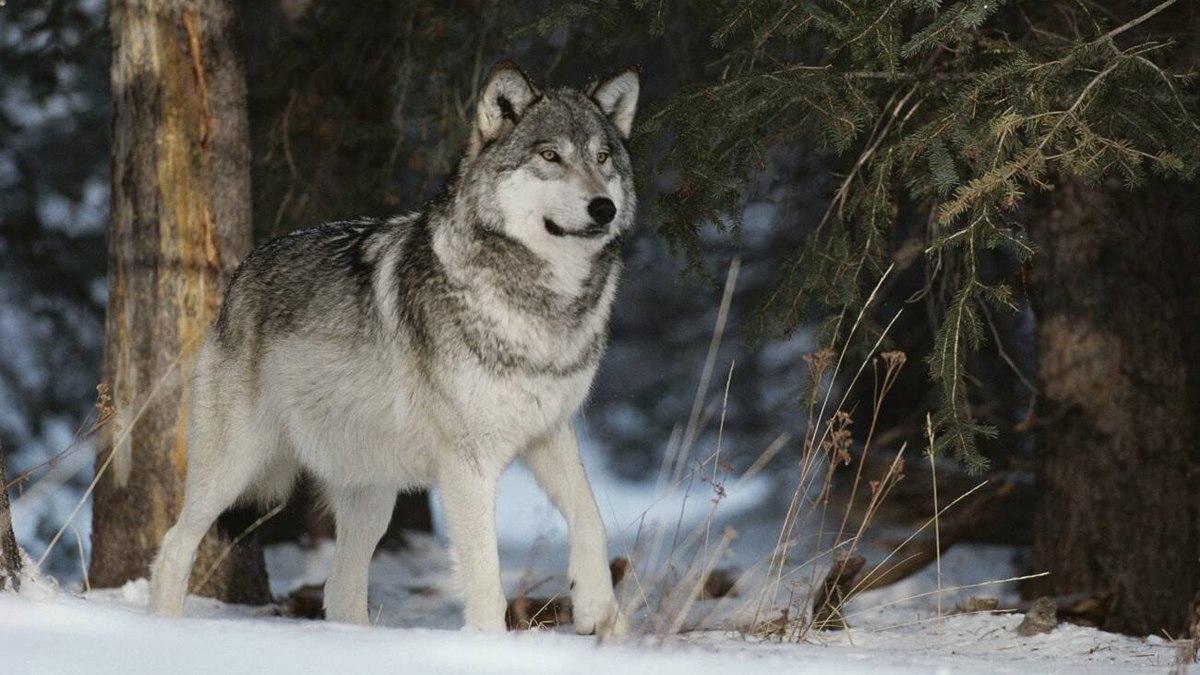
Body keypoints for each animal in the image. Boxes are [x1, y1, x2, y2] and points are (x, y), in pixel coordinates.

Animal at [150, 60, 643, 634]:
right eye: (550, 156)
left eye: (602, 158)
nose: (603, 208)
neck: (543, 306)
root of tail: (242, 272)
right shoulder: (469, 464)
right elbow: (485, 576)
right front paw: (491, 640)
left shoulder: (549, 432)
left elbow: (590, 516)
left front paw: (598, 611)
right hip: (234, 470)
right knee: (174, 546)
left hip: (373, 497)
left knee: (340, 590)